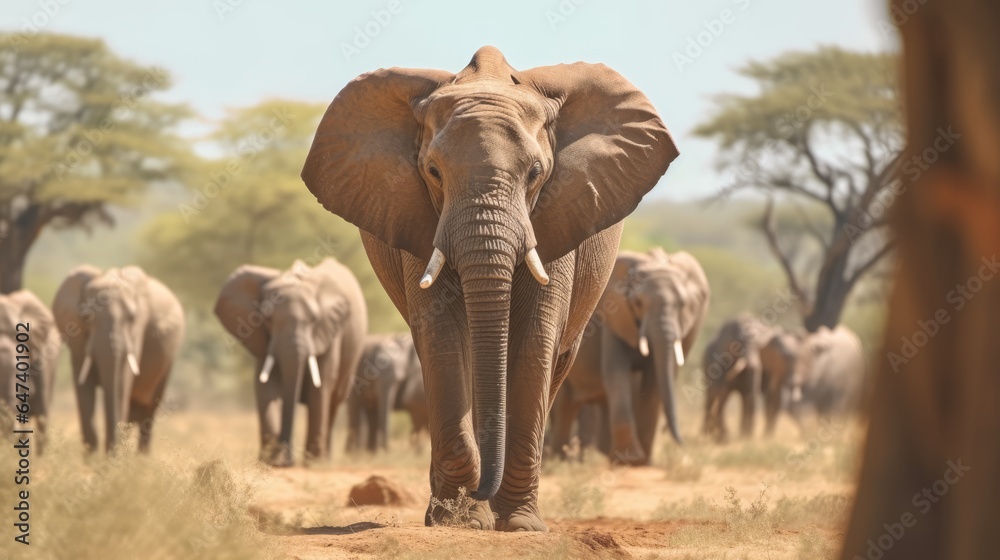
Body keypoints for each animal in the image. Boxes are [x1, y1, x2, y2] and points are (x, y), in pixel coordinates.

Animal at [52, 265, 184, 454]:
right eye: (86, 317)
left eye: (131, 318)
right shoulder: (77, 337)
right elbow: (84, 385)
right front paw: (92, 458)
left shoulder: (136, 333)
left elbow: (121, 383)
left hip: (168, 360)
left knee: (148, 412)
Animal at [215, 258, 367, 466]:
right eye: (267, 319)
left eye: (314, 320)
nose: (287, 462)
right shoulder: (264, 339)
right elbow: (266, 387)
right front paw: (268, 460)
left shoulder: (329, 331)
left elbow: (320, 387)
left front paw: (312, 463)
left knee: (333, 402)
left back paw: (323, 459)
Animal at [301, 46, 678, 531]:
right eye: (433, 171)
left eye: (536, 172)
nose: (481, 493)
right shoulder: (419, 217)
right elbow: (443, 338)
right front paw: (458, 521)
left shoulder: (558, 211)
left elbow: (535, 339)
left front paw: (519, 525)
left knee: (555, 364)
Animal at [549, 248, 710, 465]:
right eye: (638, 303)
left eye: (683, 305)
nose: (684, 446)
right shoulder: (614, 318)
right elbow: (617, 373)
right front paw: (631, 458)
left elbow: (654, 381)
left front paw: (641, 460)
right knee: (565, 405)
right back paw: (560, 460)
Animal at [701, 313, 777, 442]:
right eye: (738, 346)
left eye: (759, 347)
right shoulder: (719, 361)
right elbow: (720, 392)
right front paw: (724, 437)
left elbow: (748, 394)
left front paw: (744, 437)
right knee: (712, 398)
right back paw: (707, 436)